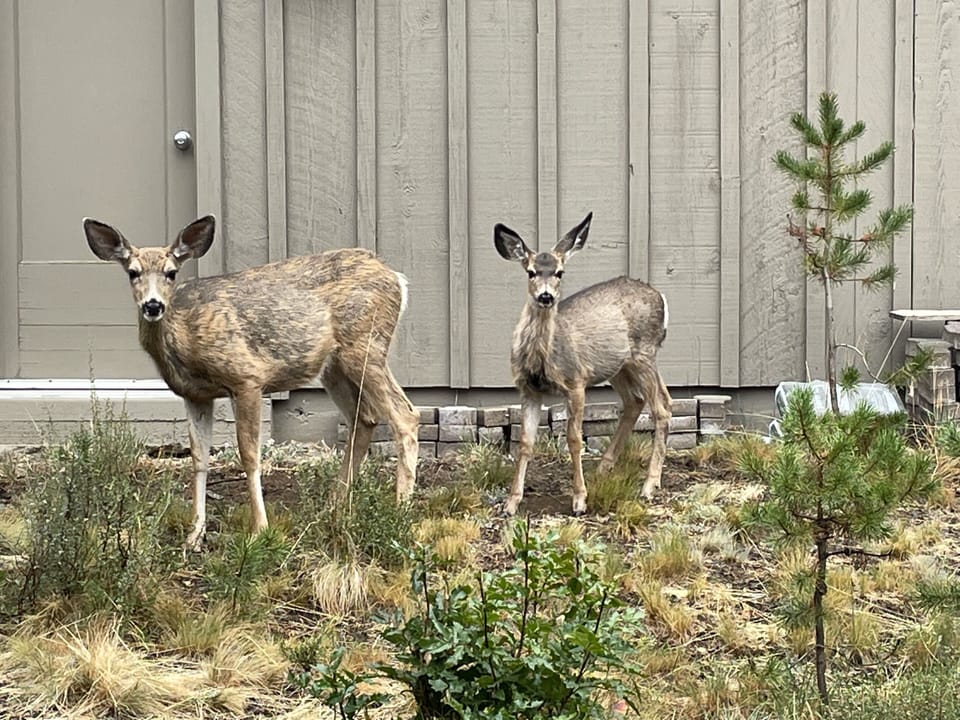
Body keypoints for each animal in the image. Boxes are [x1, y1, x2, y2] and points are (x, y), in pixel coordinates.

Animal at [83, 215, 419, 550]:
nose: (153, 306)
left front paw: (259, 529)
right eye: (133, 272)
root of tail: (397, 278)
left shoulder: (246, 378)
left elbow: (249, 455)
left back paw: (399, 511)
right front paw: (194, 535)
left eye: (171, 272)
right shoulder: (195, 395)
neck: (185, 337)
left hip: (366, 345)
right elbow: (199, 459)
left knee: (405, 414)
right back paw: (334, 508)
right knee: (364, 417)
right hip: (333, 366)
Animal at [494, 212, 672, 516]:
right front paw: (511, 502)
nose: (546, 296)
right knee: (640, 401)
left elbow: (574, 439)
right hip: (619, 366)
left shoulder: (576, 381)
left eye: (559, 272)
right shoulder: (528, 389)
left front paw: (579, 499)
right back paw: (604, 469)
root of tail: (660, 296)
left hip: (644, 353)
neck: (544, 357)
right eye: (530, 272)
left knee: (660, 409)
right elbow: (525, 443)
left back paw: (649, 485)